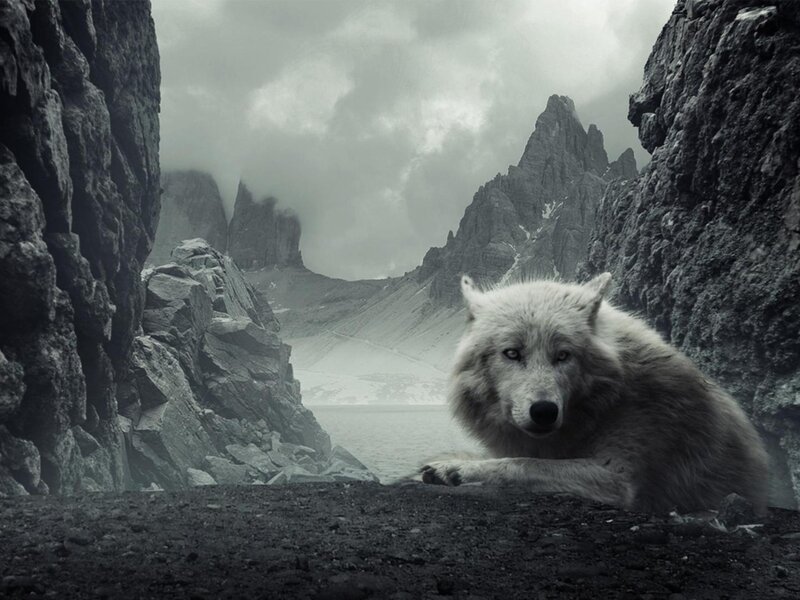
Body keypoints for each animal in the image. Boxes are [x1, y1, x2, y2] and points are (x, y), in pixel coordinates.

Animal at [420, 273, 769, 514]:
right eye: (512, 353)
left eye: (563, 355)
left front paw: (455, 468)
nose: (544, 411)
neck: (606, 403)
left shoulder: (618, 477)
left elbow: (523, 464)